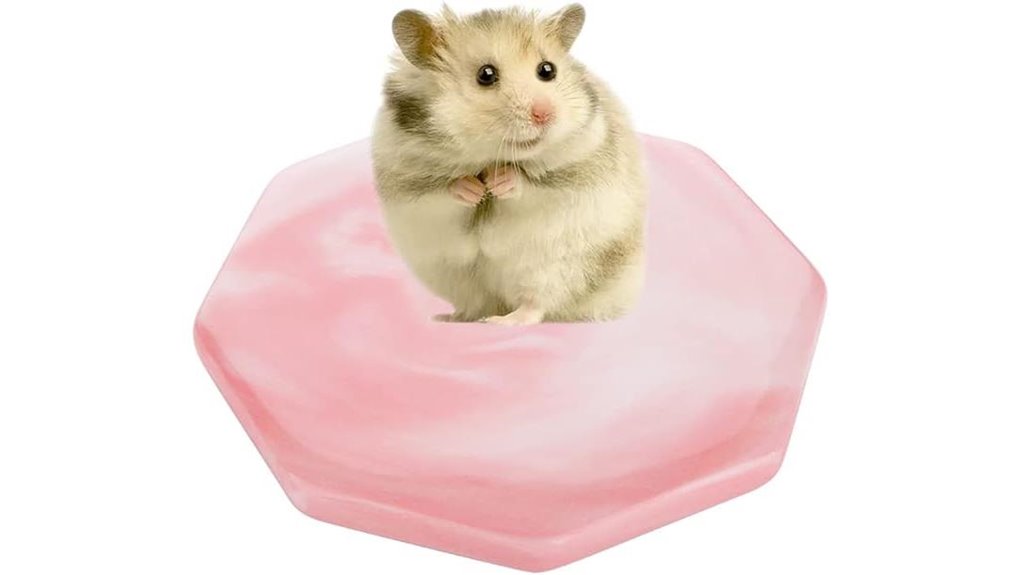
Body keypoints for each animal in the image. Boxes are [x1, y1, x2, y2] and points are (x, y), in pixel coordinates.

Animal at [371, 4, 647, 325]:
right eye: (486, 75)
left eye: (547, 70)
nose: (545, 114)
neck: (490, 156)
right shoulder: (407, 183)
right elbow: (442, 191)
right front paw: (474, 189)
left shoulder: (577, 168)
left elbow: (530, 185)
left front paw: (498, 182)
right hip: (456, 277)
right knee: (476, 303)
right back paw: (452, 317)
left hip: (557, 269)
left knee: (536, 305)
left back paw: (502, 321)